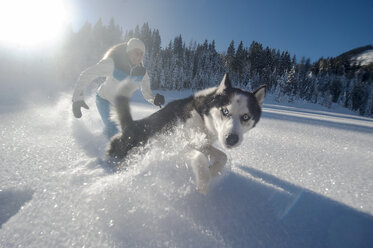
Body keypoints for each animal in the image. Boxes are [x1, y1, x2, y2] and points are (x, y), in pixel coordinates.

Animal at [107, 73, 264, 194]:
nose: (231, 139)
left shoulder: (202, 143)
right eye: (225, 111)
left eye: (245, 117)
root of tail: (131, 124)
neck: (202, 116)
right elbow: (199, 157)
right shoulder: (173, 144)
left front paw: (212, 171)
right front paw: (203, 183)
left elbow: (222, 156)